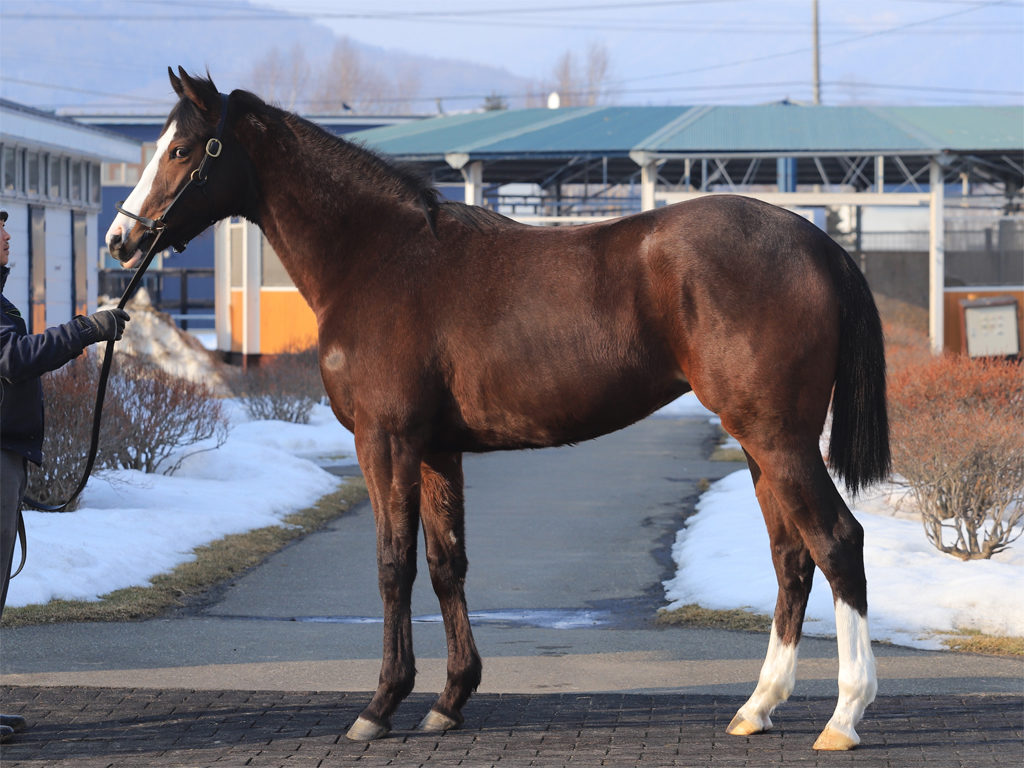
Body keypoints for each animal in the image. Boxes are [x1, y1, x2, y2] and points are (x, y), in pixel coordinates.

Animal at [105, 67, 888, 753]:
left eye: (181, 150)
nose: (120, 239)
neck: (380, 258)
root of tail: (818, 243)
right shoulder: (435, 448)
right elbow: (445, 561)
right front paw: (450, 700)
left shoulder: (386, 441)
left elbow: (393, 563)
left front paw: (380, 705)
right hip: (759, 443)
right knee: (792, 557)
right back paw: (757, 707)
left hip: (779, 439)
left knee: (836, 541)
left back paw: (844, 717)